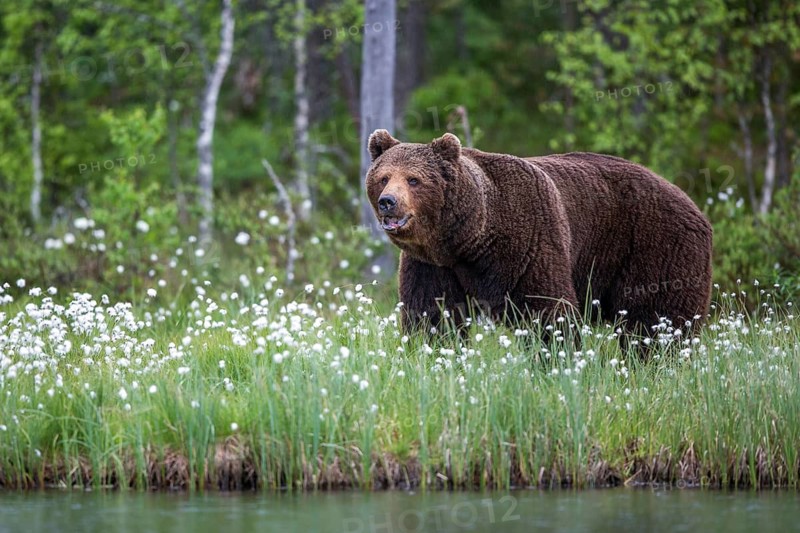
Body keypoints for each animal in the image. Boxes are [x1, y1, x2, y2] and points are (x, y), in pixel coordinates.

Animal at [364, 129, 713, 338]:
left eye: (414, 179)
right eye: (384, 177)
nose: (388, 202)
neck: (469, 240)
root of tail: (694, 205)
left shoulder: (529, 240)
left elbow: (547, 309)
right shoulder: (432, 264)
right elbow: (432, 313)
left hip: (657, 246)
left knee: (655, 321)